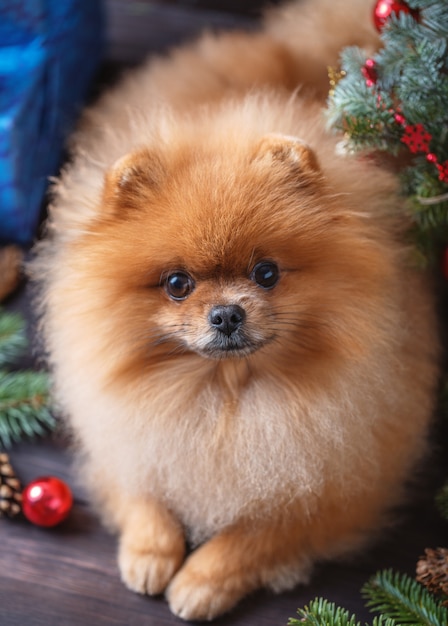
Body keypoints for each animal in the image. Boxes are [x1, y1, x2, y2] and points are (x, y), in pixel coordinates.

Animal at [33, 0, 440, 616]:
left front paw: (202, 580)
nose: (226, 313)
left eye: (266, 273)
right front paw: (149, 553)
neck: (224, 397)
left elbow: (258, 532)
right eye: (177, 283)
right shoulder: (124, 437)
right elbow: (142, 490)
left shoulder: (339, 489)